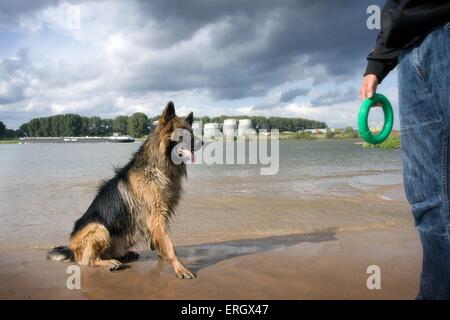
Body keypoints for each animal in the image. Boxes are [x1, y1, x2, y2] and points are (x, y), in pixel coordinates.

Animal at [47, 103, 199, 280]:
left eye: (192, 132)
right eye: (183, 134)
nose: (202, 142)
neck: (157, 166)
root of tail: (71, 250)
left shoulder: (158, 219)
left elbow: (159, 242)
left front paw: (164, 259)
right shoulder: (157, 217)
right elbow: (169, 245)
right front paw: (180, 268)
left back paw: (124, 255)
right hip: (99, 228)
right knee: (88, 260)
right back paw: (109, 262)